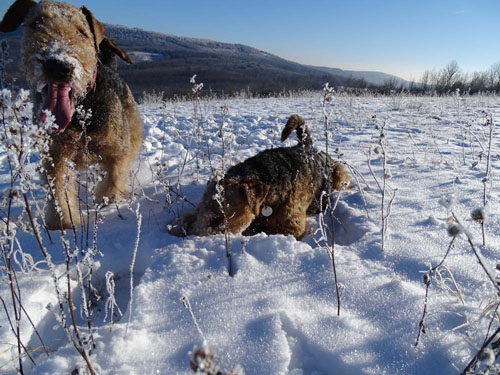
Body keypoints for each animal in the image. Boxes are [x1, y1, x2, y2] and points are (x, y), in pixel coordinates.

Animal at [170, 113, 350, 239]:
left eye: (217, 218)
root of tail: (307, 146)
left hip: (338, 172)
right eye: (199, 209)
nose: (187, 234)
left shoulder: (291, 227)